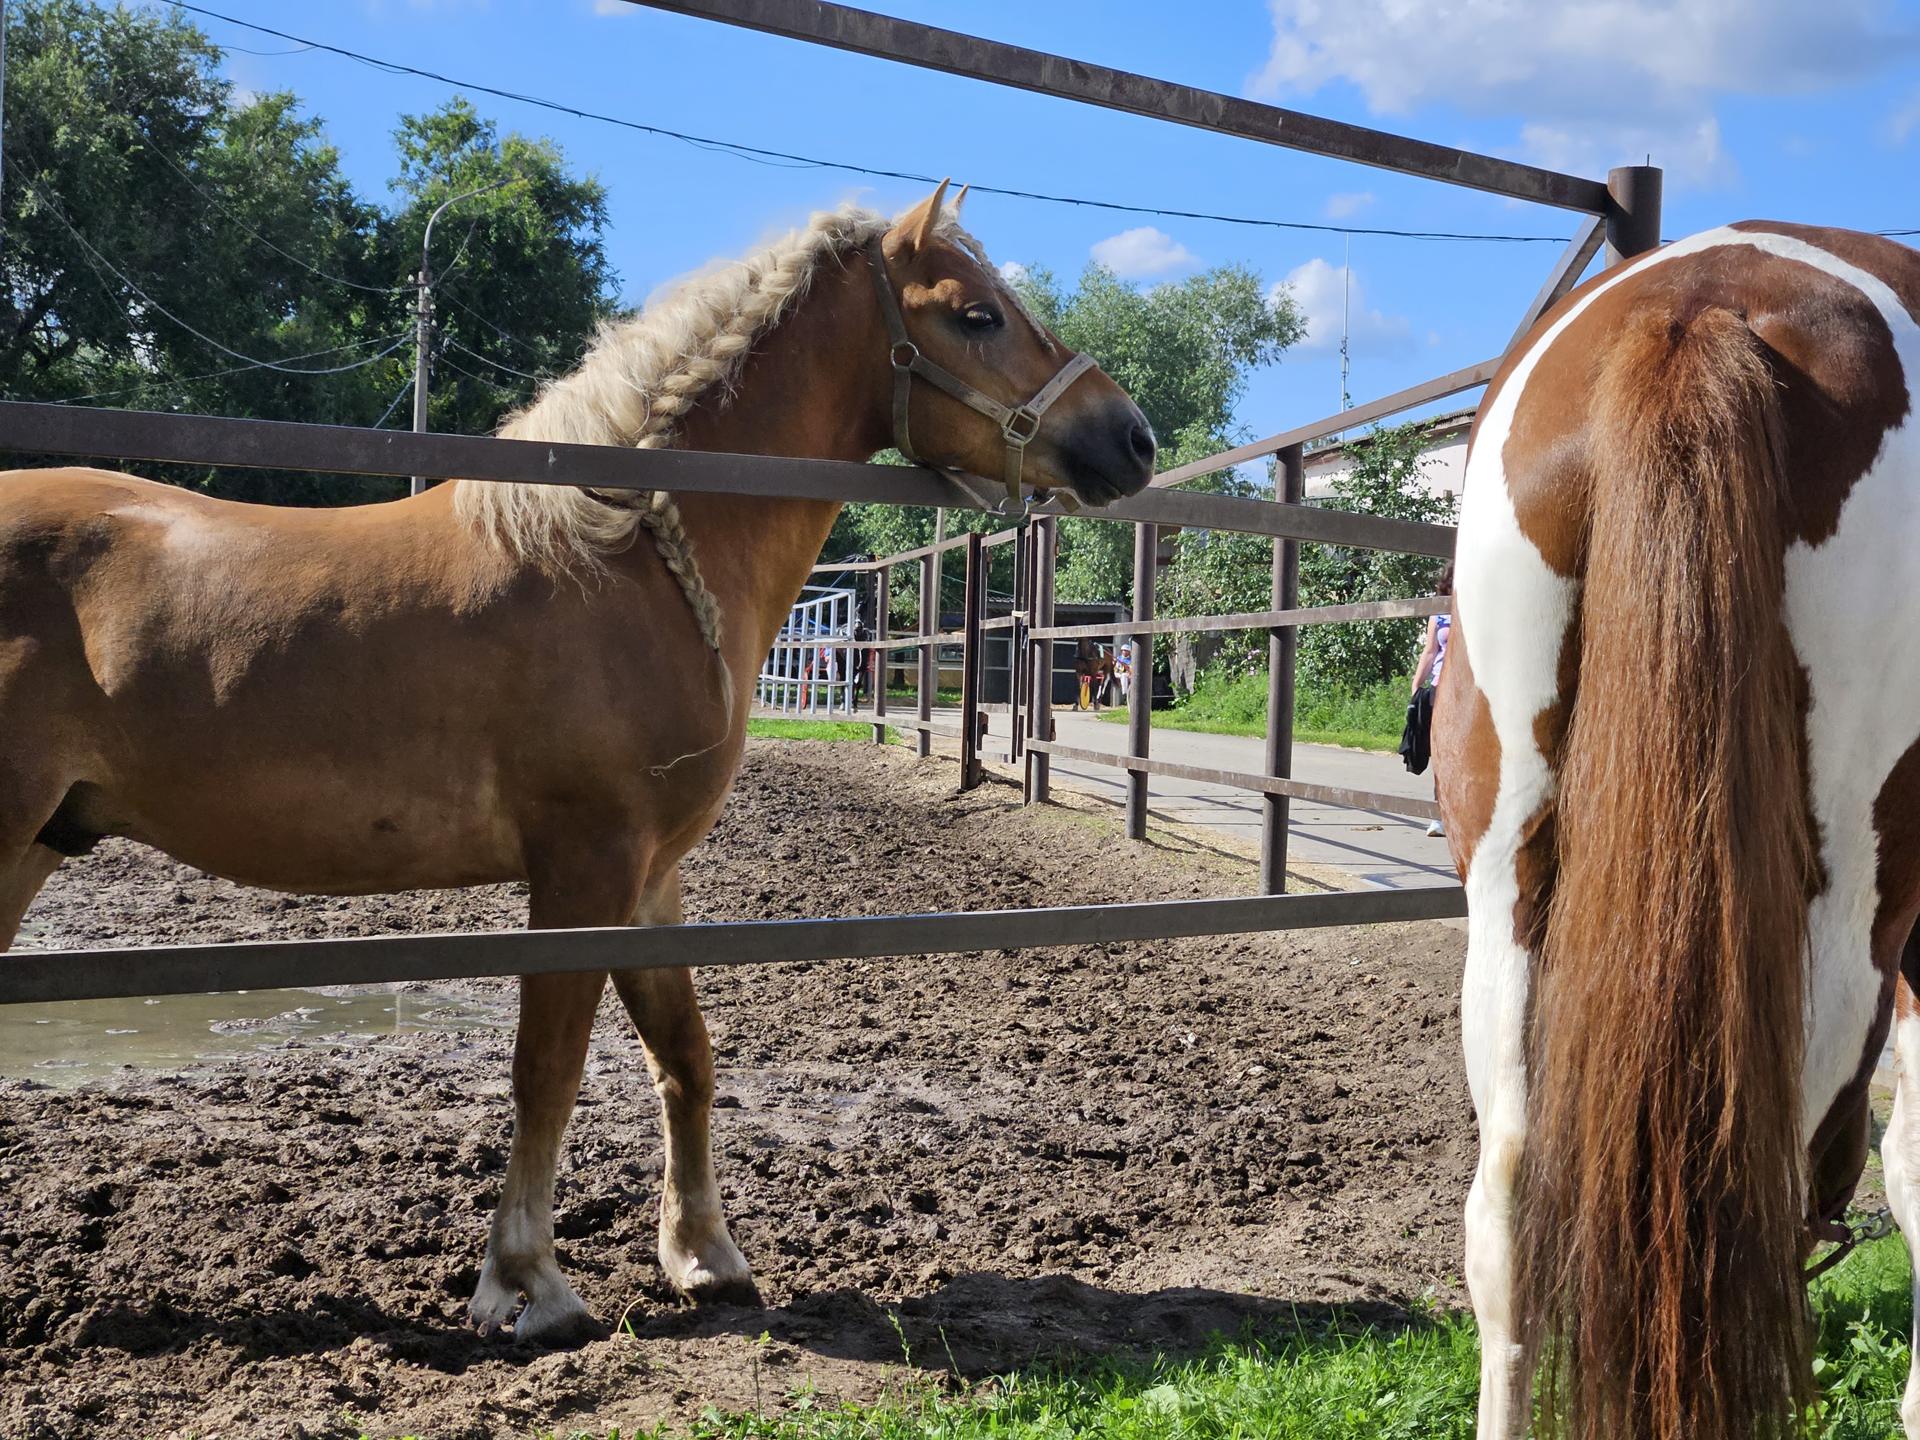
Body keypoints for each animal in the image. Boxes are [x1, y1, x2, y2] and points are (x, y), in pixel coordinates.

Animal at [0, 186, 1152, 1351]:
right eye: (975, 315)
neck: (623, 554)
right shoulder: (583, 868)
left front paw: (704, 1257)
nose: (1132, 437)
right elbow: (546, 1072)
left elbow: (684, 1055)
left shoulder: (649, 877)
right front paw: (528, 1286)